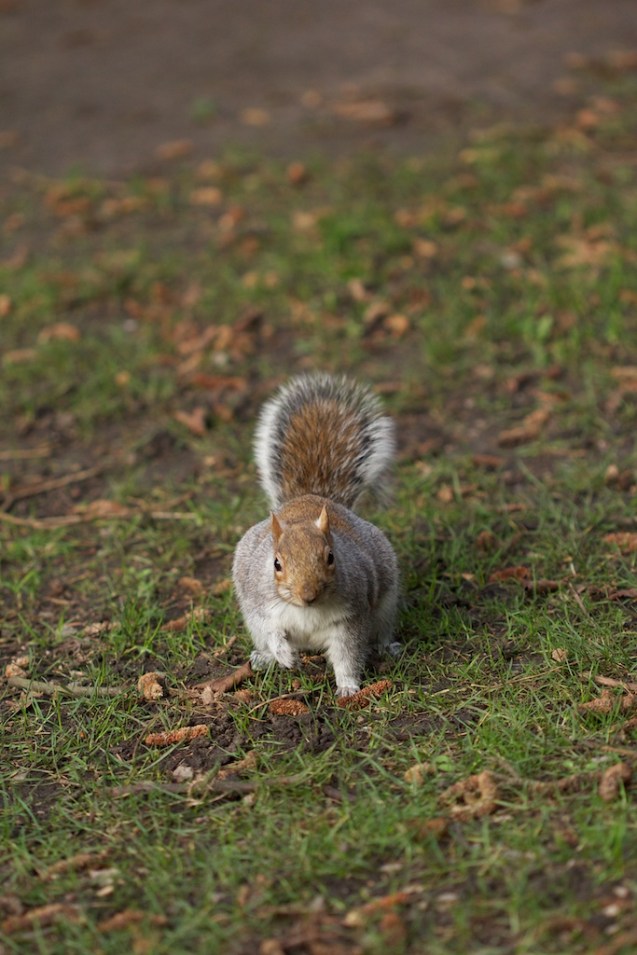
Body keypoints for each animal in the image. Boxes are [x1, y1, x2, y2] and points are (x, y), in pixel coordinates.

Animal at [232, 373, 400, 697]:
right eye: (276, 564)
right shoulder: (262, 608)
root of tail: (312, 497)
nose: (307, 594)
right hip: (251, 617)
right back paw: (266, 658)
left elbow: (348, 655)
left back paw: (386, 646)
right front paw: (284, 656)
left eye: (331, 557)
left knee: (382, 629)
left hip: (386, 602)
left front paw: (349, 687)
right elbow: (273, 633)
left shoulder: (351, 618)